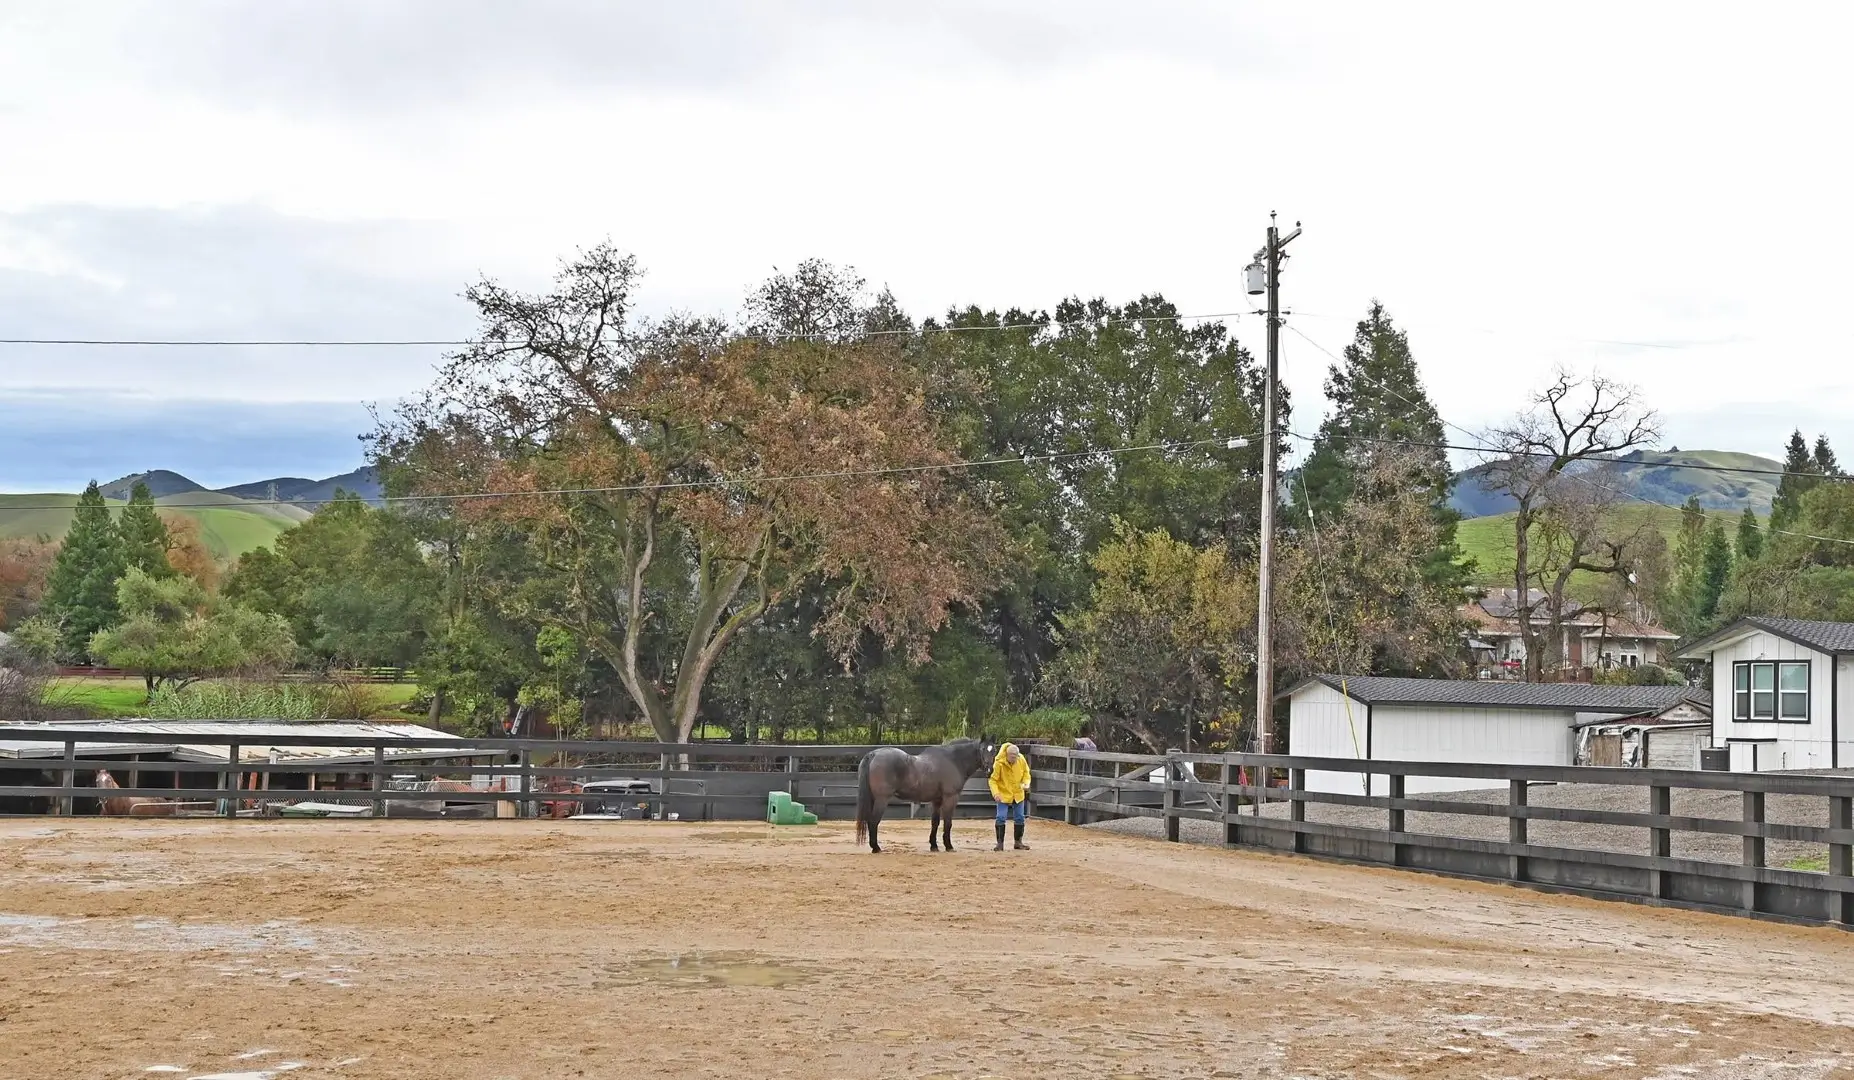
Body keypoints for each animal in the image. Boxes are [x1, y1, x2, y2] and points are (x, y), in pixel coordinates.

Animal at [854, 738, 988, 853]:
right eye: (983, 749)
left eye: (992, 750)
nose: (989, 769)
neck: (953, 760)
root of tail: (874, 754)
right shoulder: (950, 798)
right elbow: (948, 823)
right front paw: (949, 846)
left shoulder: (936, 800)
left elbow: (935, 823)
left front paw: (934, 846)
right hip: (881, 799)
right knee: (874, 821)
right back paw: (876, 848)